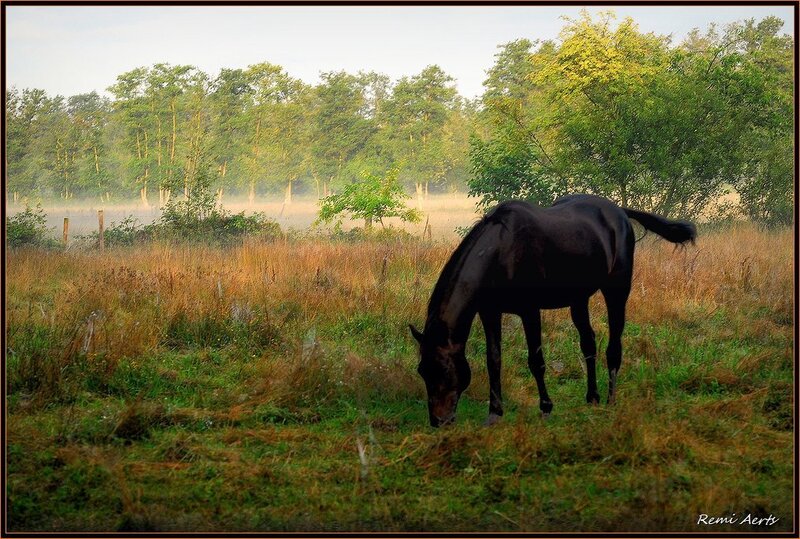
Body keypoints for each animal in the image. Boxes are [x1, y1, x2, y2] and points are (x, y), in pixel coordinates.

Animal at [410, 194, 696, 428]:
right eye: (422, 371)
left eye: (444, 369)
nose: (439, 421)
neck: (501, 251)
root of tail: (619, 212)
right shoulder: (490, 312)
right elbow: (494, 361)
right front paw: (495, 413)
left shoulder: (529, 311)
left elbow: (536, 361)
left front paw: (546, 408)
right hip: (578, 299)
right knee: (588, 343)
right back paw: (592, 397)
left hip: (617, 291)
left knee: (613, 346)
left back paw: (610, 400)